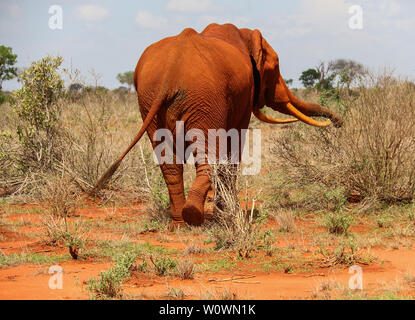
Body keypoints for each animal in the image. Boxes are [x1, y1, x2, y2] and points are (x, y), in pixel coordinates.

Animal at [95, 22, 344, 228]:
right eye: (275, 69)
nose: (339, 123)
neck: (245, 35)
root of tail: (171, 70)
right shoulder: (243, 97)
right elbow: (234, 143)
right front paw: (229, 215)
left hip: (151, 99)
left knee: (170, 162)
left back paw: (180, 224)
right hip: (203, 98)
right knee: (207, 156)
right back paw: (194, 216)